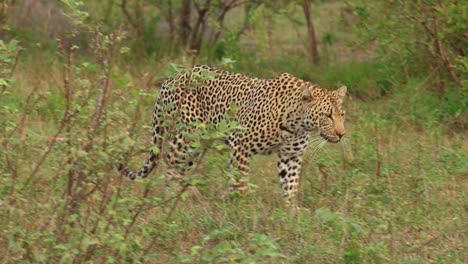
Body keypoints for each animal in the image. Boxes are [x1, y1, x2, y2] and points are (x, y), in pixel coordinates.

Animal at [119, 65, 346, 209]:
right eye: (327, 116)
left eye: (342, 115)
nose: (342, 134)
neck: (297, 123)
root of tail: (171, 78)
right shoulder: (241, 146)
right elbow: (240, 182)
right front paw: (239, 208)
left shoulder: (291, 157)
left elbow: (290, 185)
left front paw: (292, 213)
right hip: (188, 138)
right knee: (170, 165)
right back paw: (179, 196)